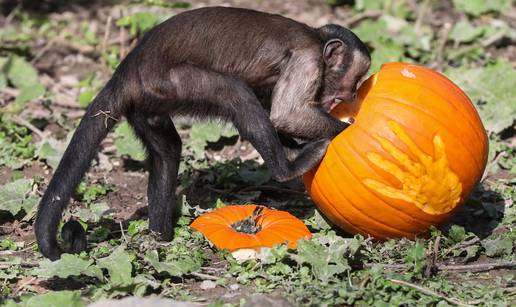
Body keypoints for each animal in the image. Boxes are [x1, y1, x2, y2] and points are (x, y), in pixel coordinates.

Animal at [34, 6, 370, 262]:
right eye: (354, 81)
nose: (353, 95)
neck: (316, 38)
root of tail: (125, 70)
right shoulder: (308, 59)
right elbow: (286, 113)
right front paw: (350, 129)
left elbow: (279, 115)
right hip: (166, 81)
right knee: (234, 92)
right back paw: (285, 169)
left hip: (147, 103)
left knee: (168, 151)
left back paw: (160, 234)